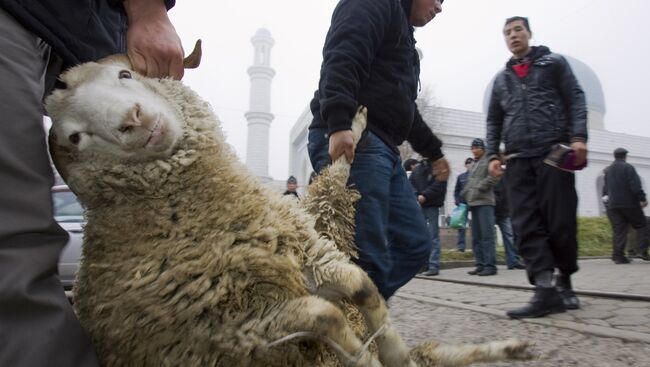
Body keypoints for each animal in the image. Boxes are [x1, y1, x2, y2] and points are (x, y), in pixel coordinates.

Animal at [45, 43, 532, 367]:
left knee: (427, 352)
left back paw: (511, 346)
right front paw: (365, 358)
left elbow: (361, 286)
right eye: (75, 136)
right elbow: (326, 314)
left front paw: (388, 353)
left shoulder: (311, 251)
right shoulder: (238, 326)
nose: (134, 120)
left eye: (125, 75)